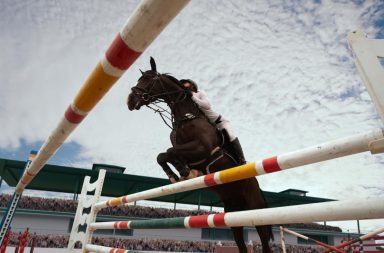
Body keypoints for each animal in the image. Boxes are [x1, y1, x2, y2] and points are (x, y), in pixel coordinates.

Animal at [127, 57, 272, 253]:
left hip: (256, 213)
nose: (130, 100)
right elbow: (163, 155)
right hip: (233, 215)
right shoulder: (185, 150)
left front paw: (183, 172)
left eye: (149, 80)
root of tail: (258, 187)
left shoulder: (202, 148)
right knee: (240, 242)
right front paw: (178, 174)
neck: (186, 117)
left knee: (264, 240)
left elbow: (169, 152)